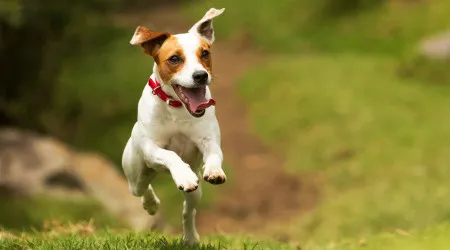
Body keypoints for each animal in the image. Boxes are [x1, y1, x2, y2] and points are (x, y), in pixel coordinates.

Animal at [121, 8, 227, 244]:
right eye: (175, 59)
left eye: (205, 53)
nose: (201, 75)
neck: (178, 109)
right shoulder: (151, 148)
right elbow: (170, 155)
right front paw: (183, 174)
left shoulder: (209, 139)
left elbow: (214, 154)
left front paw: (214, 171)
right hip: (136, 172)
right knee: (141, 188)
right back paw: (151, 204)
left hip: (195, 193)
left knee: (188, 211)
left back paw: (190, 238)